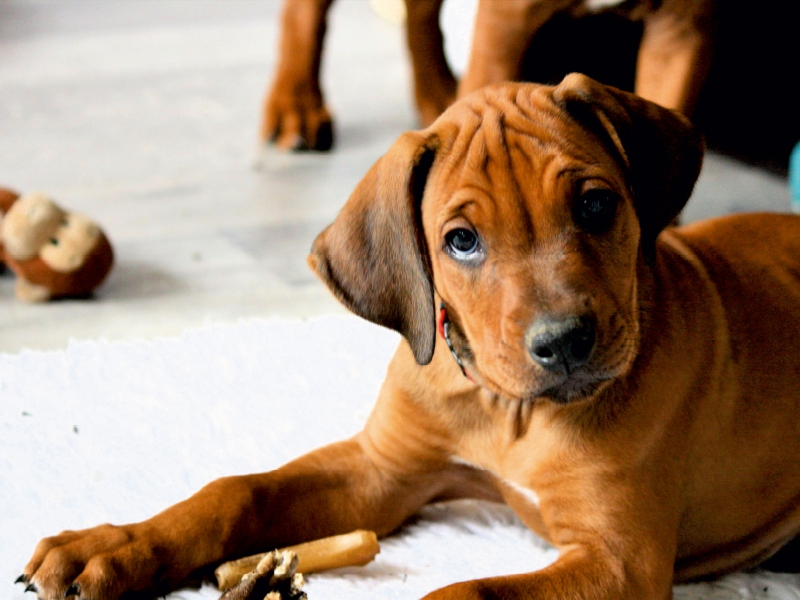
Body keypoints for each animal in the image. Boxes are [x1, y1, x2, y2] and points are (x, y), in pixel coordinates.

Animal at [18, 76, 800, 600]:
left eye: (597, 205)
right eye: (461, 241)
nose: (564, 344)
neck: (506, 408)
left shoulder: (620, 560)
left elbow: (468, 590)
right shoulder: (383, 471)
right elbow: (235, 491)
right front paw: (108, 547)